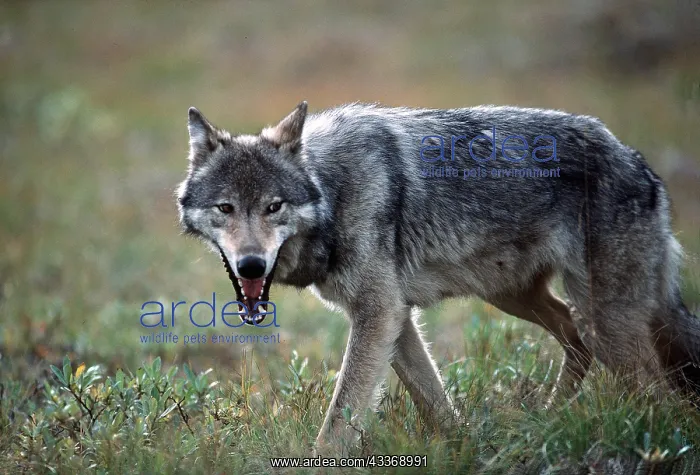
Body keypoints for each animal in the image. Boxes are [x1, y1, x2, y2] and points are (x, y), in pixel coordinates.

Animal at [176, 101, 700, 452]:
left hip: (605, 323)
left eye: (274, 207)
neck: (333, 189)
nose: (251, 265)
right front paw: (468, 447)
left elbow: (340, 419)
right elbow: (435, 403)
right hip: (519, 298)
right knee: (575, 335)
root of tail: (639, 163)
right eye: (226, 208)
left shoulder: (380, 312)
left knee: (656, 396)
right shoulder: (395, 318)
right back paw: (548, 418)